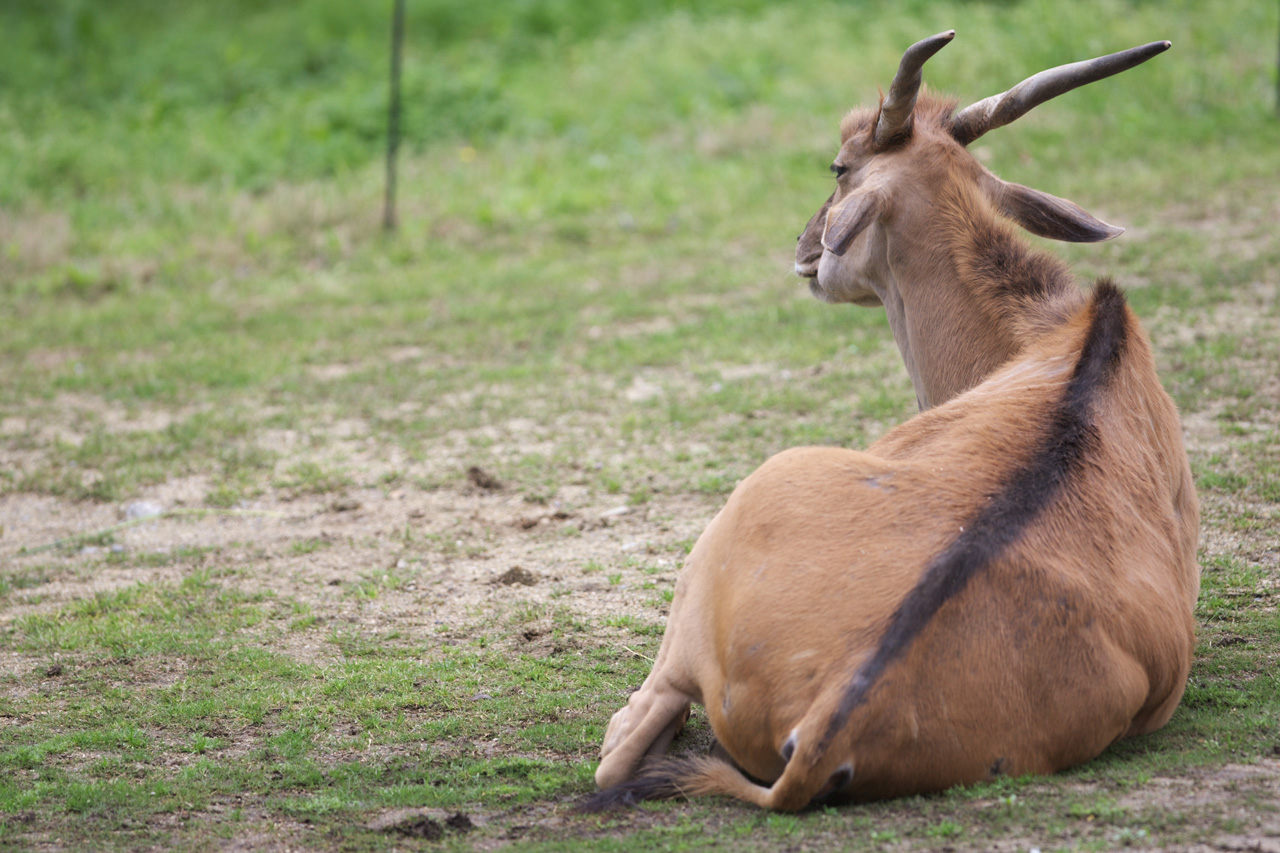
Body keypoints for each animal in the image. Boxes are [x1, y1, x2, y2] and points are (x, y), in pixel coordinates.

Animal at [586, 29, 1203, 809]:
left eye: (840, 166)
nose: (806, 248)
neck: (1064, 336)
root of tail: (829, 724)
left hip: (749, 507)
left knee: (626, 745)